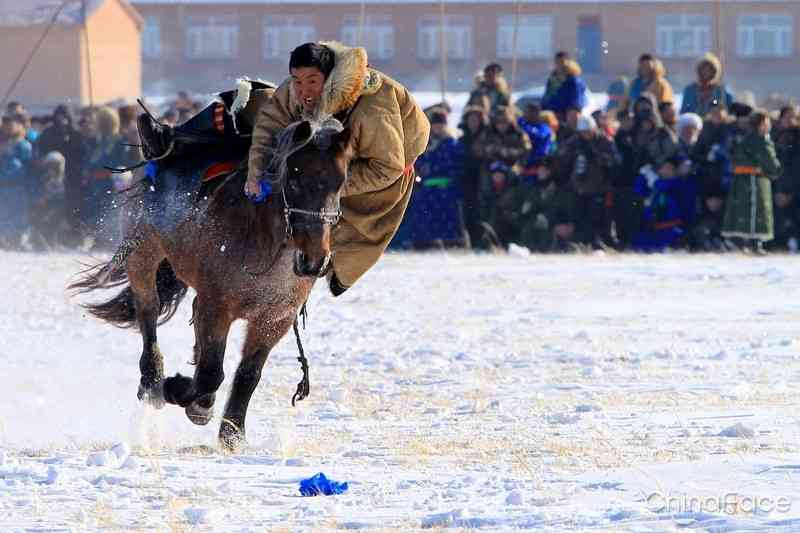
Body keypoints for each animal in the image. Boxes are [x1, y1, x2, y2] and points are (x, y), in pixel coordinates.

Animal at [70, 119, 352, 448]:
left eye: (340, 183)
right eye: (294, 181)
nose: (315, 260)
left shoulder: (274, 319)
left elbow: (248, 374)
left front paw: (232, 433)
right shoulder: (217, 307)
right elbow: (210, 373)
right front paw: (186, 396)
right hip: (142, 255)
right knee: (148, 311)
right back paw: (153, 380)